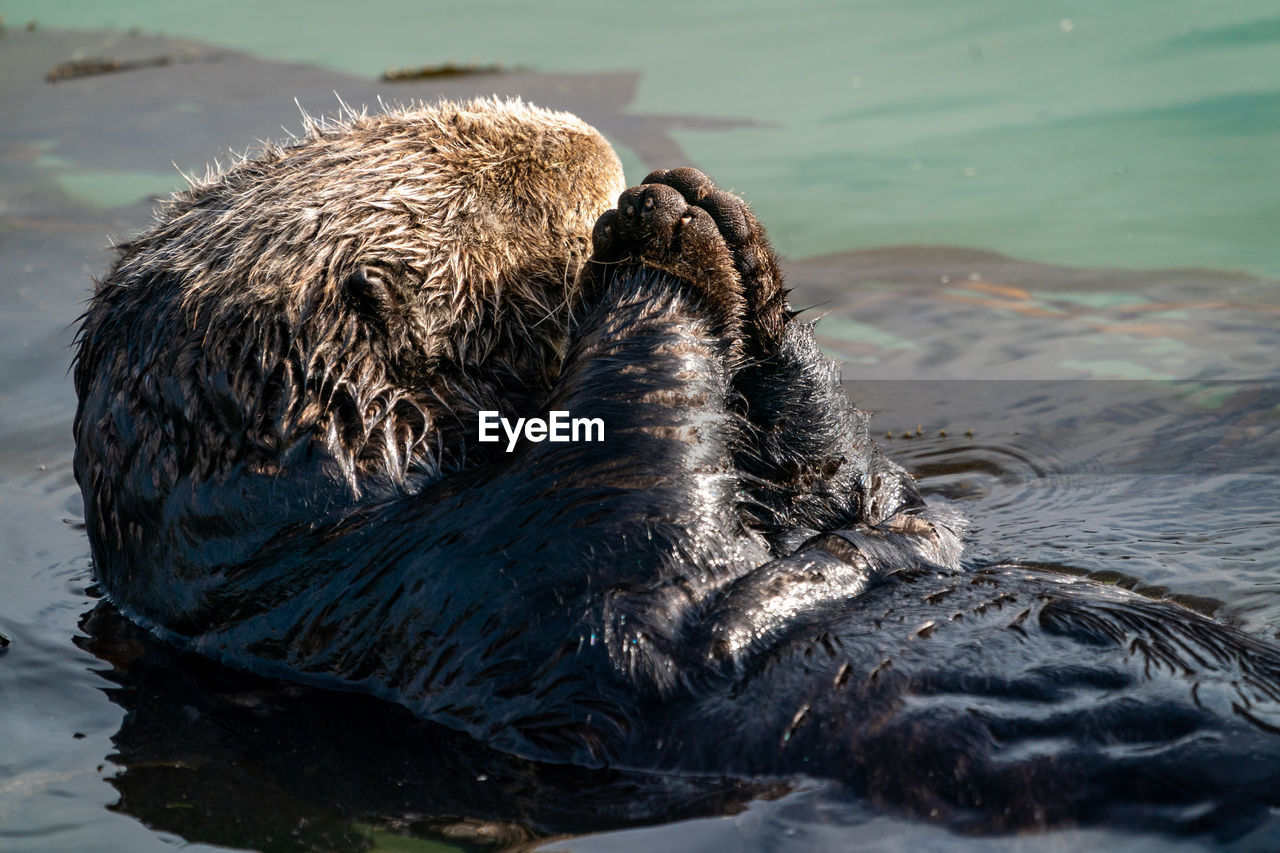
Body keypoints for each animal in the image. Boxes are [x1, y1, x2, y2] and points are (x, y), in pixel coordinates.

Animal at [74, 97, 1280, 837]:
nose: (596, 151)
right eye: (490, 179)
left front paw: (726, 232)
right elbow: (638, 486)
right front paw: (656, 236)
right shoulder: (472, 573)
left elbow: (857, 497)